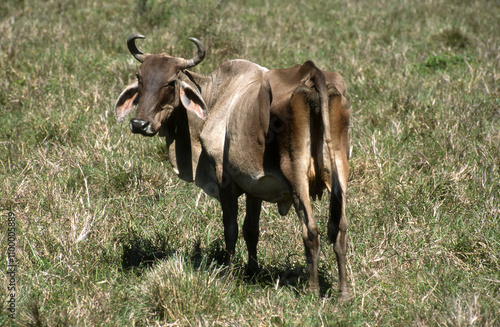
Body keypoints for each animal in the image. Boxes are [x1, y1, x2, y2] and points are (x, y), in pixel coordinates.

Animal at [114, 34, 350, 300]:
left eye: (171, 82)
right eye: (139, 78)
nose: (139, 123)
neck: (217, 96)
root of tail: (313, 73)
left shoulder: (224, 180)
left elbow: (231, 229)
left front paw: (228, 274)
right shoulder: (254, 186)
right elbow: (251, 230)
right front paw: (252, 271)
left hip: (296, 174)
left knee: (310, 229)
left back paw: (312, 290)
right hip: (339, 171)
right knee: (340, 229)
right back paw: (343, 293)